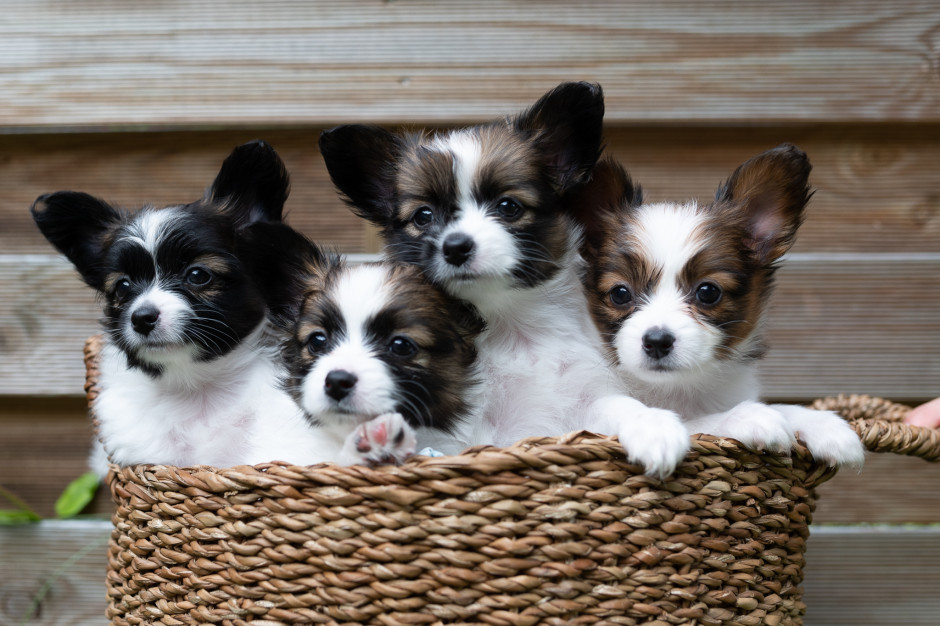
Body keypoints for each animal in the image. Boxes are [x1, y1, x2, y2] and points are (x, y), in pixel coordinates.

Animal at [316, 80, 692, 476]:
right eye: (423, 216)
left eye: (508, 207)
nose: (456, 247)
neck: (510, 326)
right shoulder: (472, 434)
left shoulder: (582, 398)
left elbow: (620, 405)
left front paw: (655, 427)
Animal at [572, 144, 868, 466]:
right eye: (620, 294)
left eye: (708, 292)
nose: (657, 341)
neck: (672, 389)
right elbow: (692, 422)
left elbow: (780, 406)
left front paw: (823, 424)